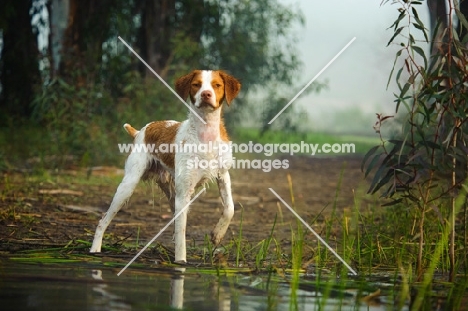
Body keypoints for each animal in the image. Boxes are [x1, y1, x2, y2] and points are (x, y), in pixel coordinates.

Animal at [89, 70, 241, 264]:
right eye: (196, 85)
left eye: (216, 85)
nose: (206, 94)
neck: (205, 133)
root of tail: (141, 131)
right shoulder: (184, 192)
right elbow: (182, 233)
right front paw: (181, 262)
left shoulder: (223, 175)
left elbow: (230, 208)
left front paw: (217, 234)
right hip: (128, 186)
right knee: (103, 221)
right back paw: (95, 249)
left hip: (171, 192)